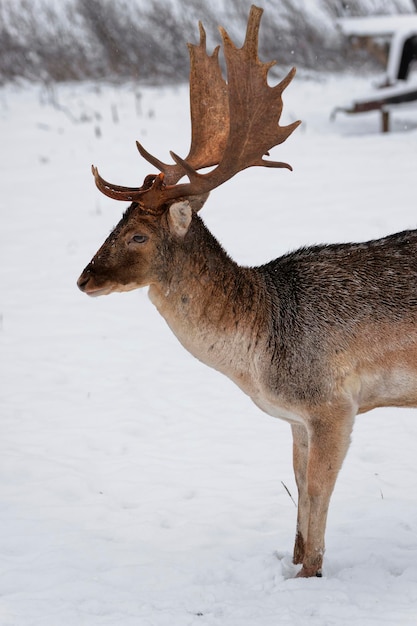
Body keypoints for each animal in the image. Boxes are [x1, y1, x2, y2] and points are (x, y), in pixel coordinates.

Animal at [77, 4, 416, 576]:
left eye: (139, 234)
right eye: (116, 222)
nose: (83, 278)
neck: (257, 354)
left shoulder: (333, 403)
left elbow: (318, 492)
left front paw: (311, 571)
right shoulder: (296, 419)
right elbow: (298, 488)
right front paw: (294, 561)